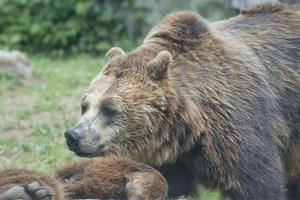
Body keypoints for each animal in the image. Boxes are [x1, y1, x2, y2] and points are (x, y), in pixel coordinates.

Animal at [64, 3, 300, 200]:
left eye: (109, 109)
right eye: (84, 105)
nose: (73, 135)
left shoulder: (238, 125)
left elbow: (259, 183)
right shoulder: (170, 158)